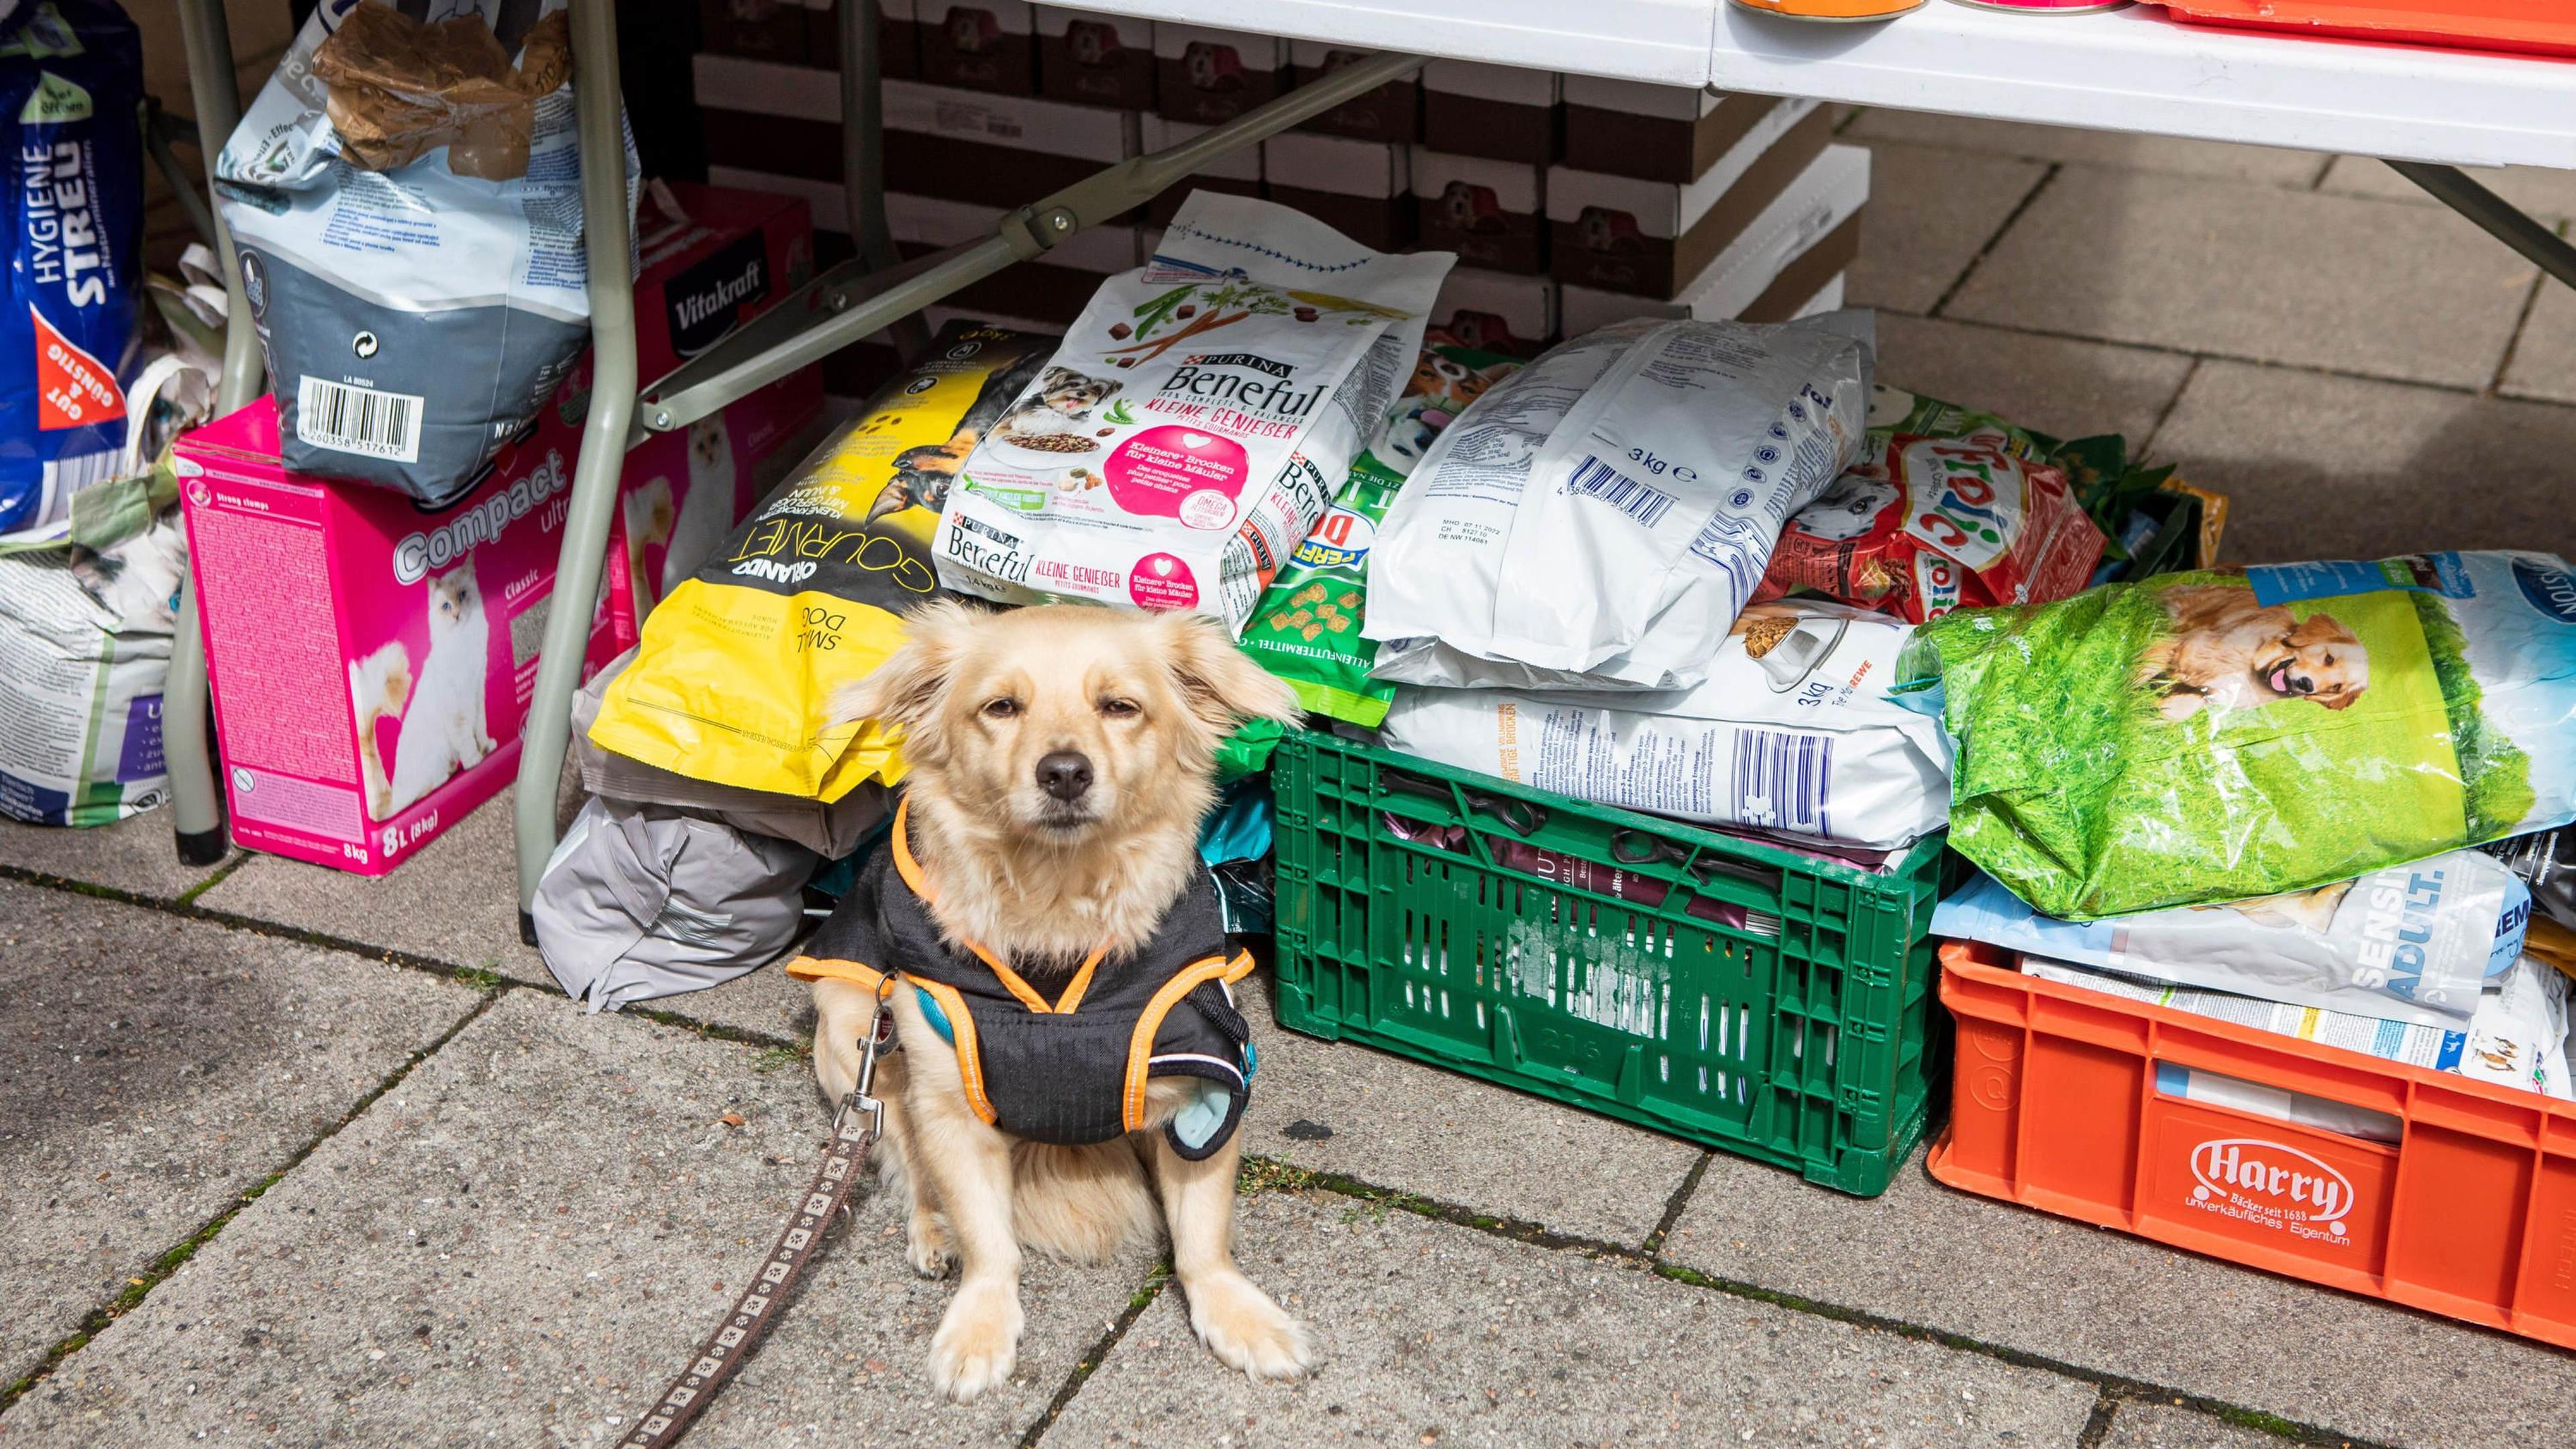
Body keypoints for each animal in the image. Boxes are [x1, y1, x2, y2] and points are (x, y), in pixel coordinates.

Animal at [808, 600, 1308, 1402]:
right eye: (1001, 708)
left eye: (1120, 707)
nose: (1066, 771)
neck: (1056, 909)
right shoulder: (949, 1099)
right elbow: (988, 1239)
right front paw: (980, 1326)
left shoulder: (1207, 1082)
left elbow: (1204, 1239)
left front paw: (1239, 1317)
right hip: (854, 1027)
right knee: (901, 1154)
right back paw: (932, 1230)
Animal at [2143, 580, 2359, 722]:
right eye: (2329, 659)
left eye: (2336, 687)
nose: (2307, 685)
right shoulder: (2184, 646)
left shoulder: (2208, 692)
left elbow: (2173, 710)